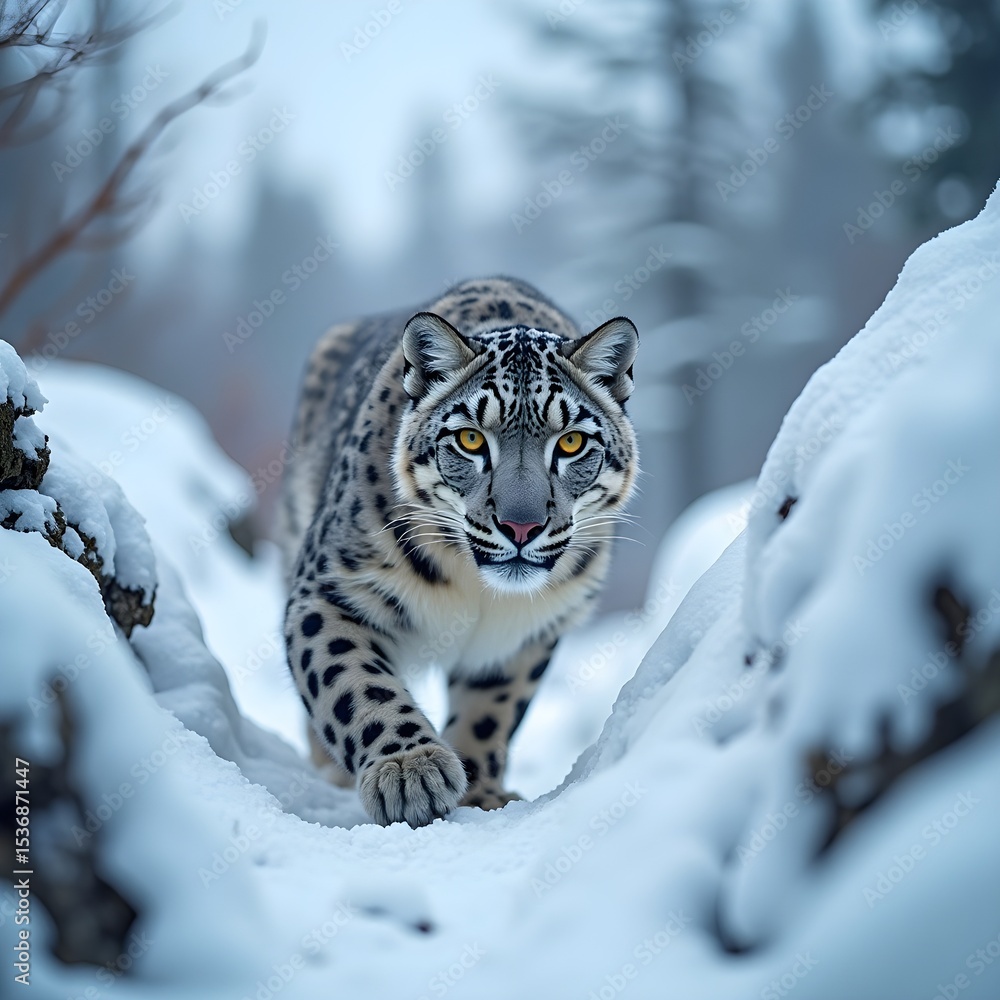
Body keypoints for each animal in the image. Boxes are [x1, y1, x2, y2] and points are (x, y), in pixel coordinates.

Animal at [278, 277, 638, 827]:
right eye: (470, 439)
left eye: (571, 442)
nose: (520, 526)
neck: (476, 590)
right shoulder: (331, 590)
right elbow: (353, 682)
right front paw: (410, 770)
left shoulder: (528, 630)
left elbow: (491, 708)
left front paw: (479, 792)